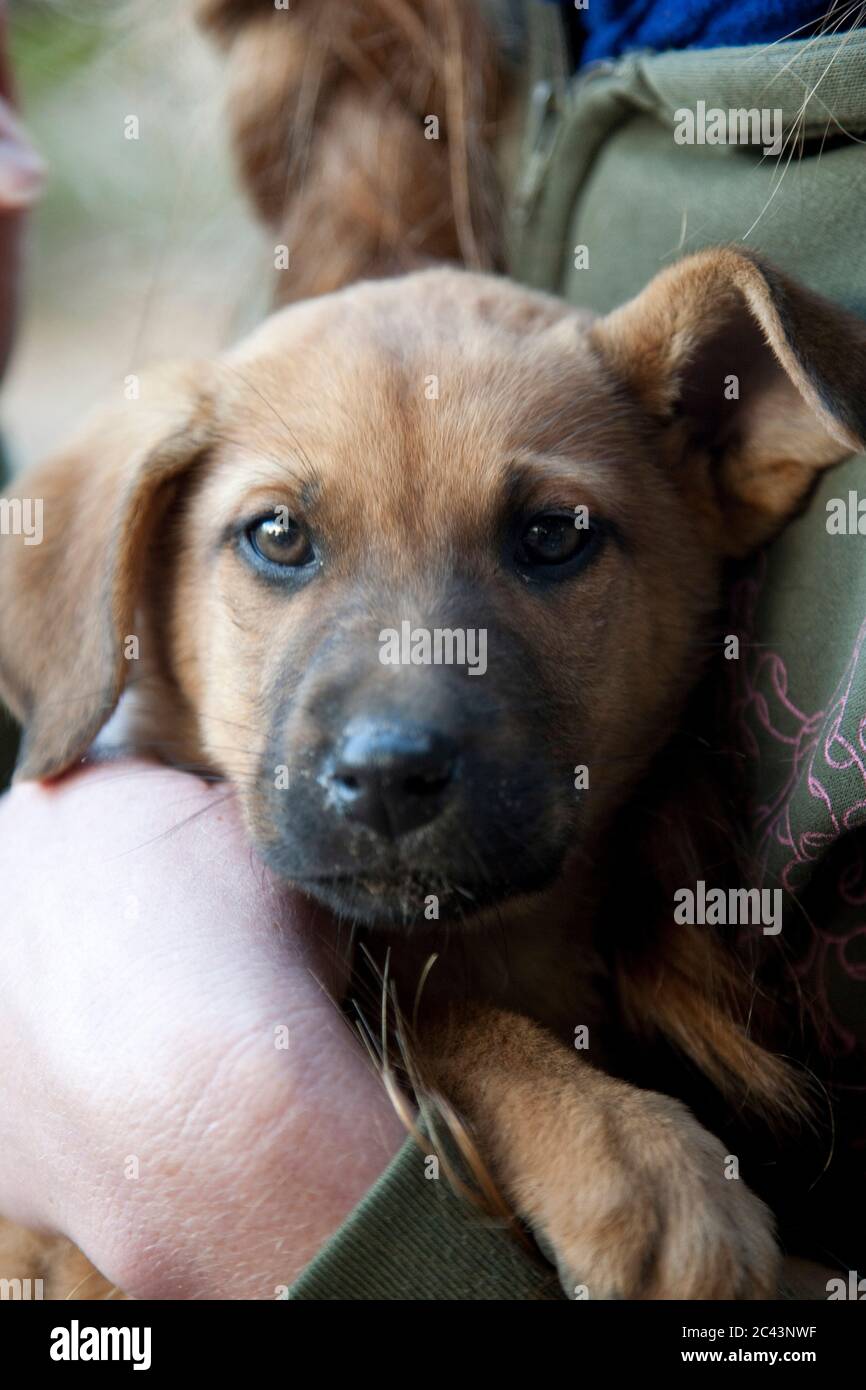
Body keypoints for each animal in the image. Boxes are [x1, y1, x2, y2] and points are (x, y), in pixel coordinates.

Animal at [1, 244, 866, 1295]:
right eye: (278, 535)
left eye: (552, 534)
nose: (386, 776)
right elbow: (433, 1016)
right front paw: (627, 1154)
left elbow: (428, 1009)